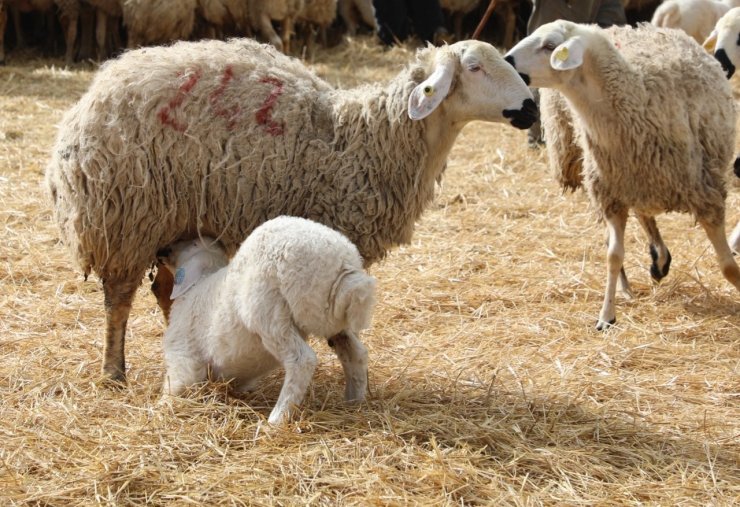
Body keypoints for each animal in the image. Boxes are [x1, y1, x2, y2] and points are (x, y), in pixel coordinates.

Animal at [156, 216, 376, 426]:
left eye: (190, 243)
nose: (162, 251)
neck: (198, 283)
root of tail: (344, 267)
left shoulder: (183, 357)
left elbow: (175, 387)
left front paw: (161, 406)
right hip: (334, 320)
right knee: (356, 353)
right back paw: (353, 402)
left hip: (268, 312)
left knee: (302, 360)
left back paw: (277, 419)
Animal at [506, 20, 740, 330]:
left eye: (549, 45)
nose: (506, 61)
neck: (637, 101)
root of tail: (624, 28)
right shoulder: (612, 195)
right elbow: (613, 255)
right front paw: (607, 314)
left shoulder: (705, 193)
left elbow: (727, 266)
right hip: (617, 179)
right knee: (640, 215)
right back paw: (647, 269)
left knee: (644, 212)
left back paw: (658, 259)